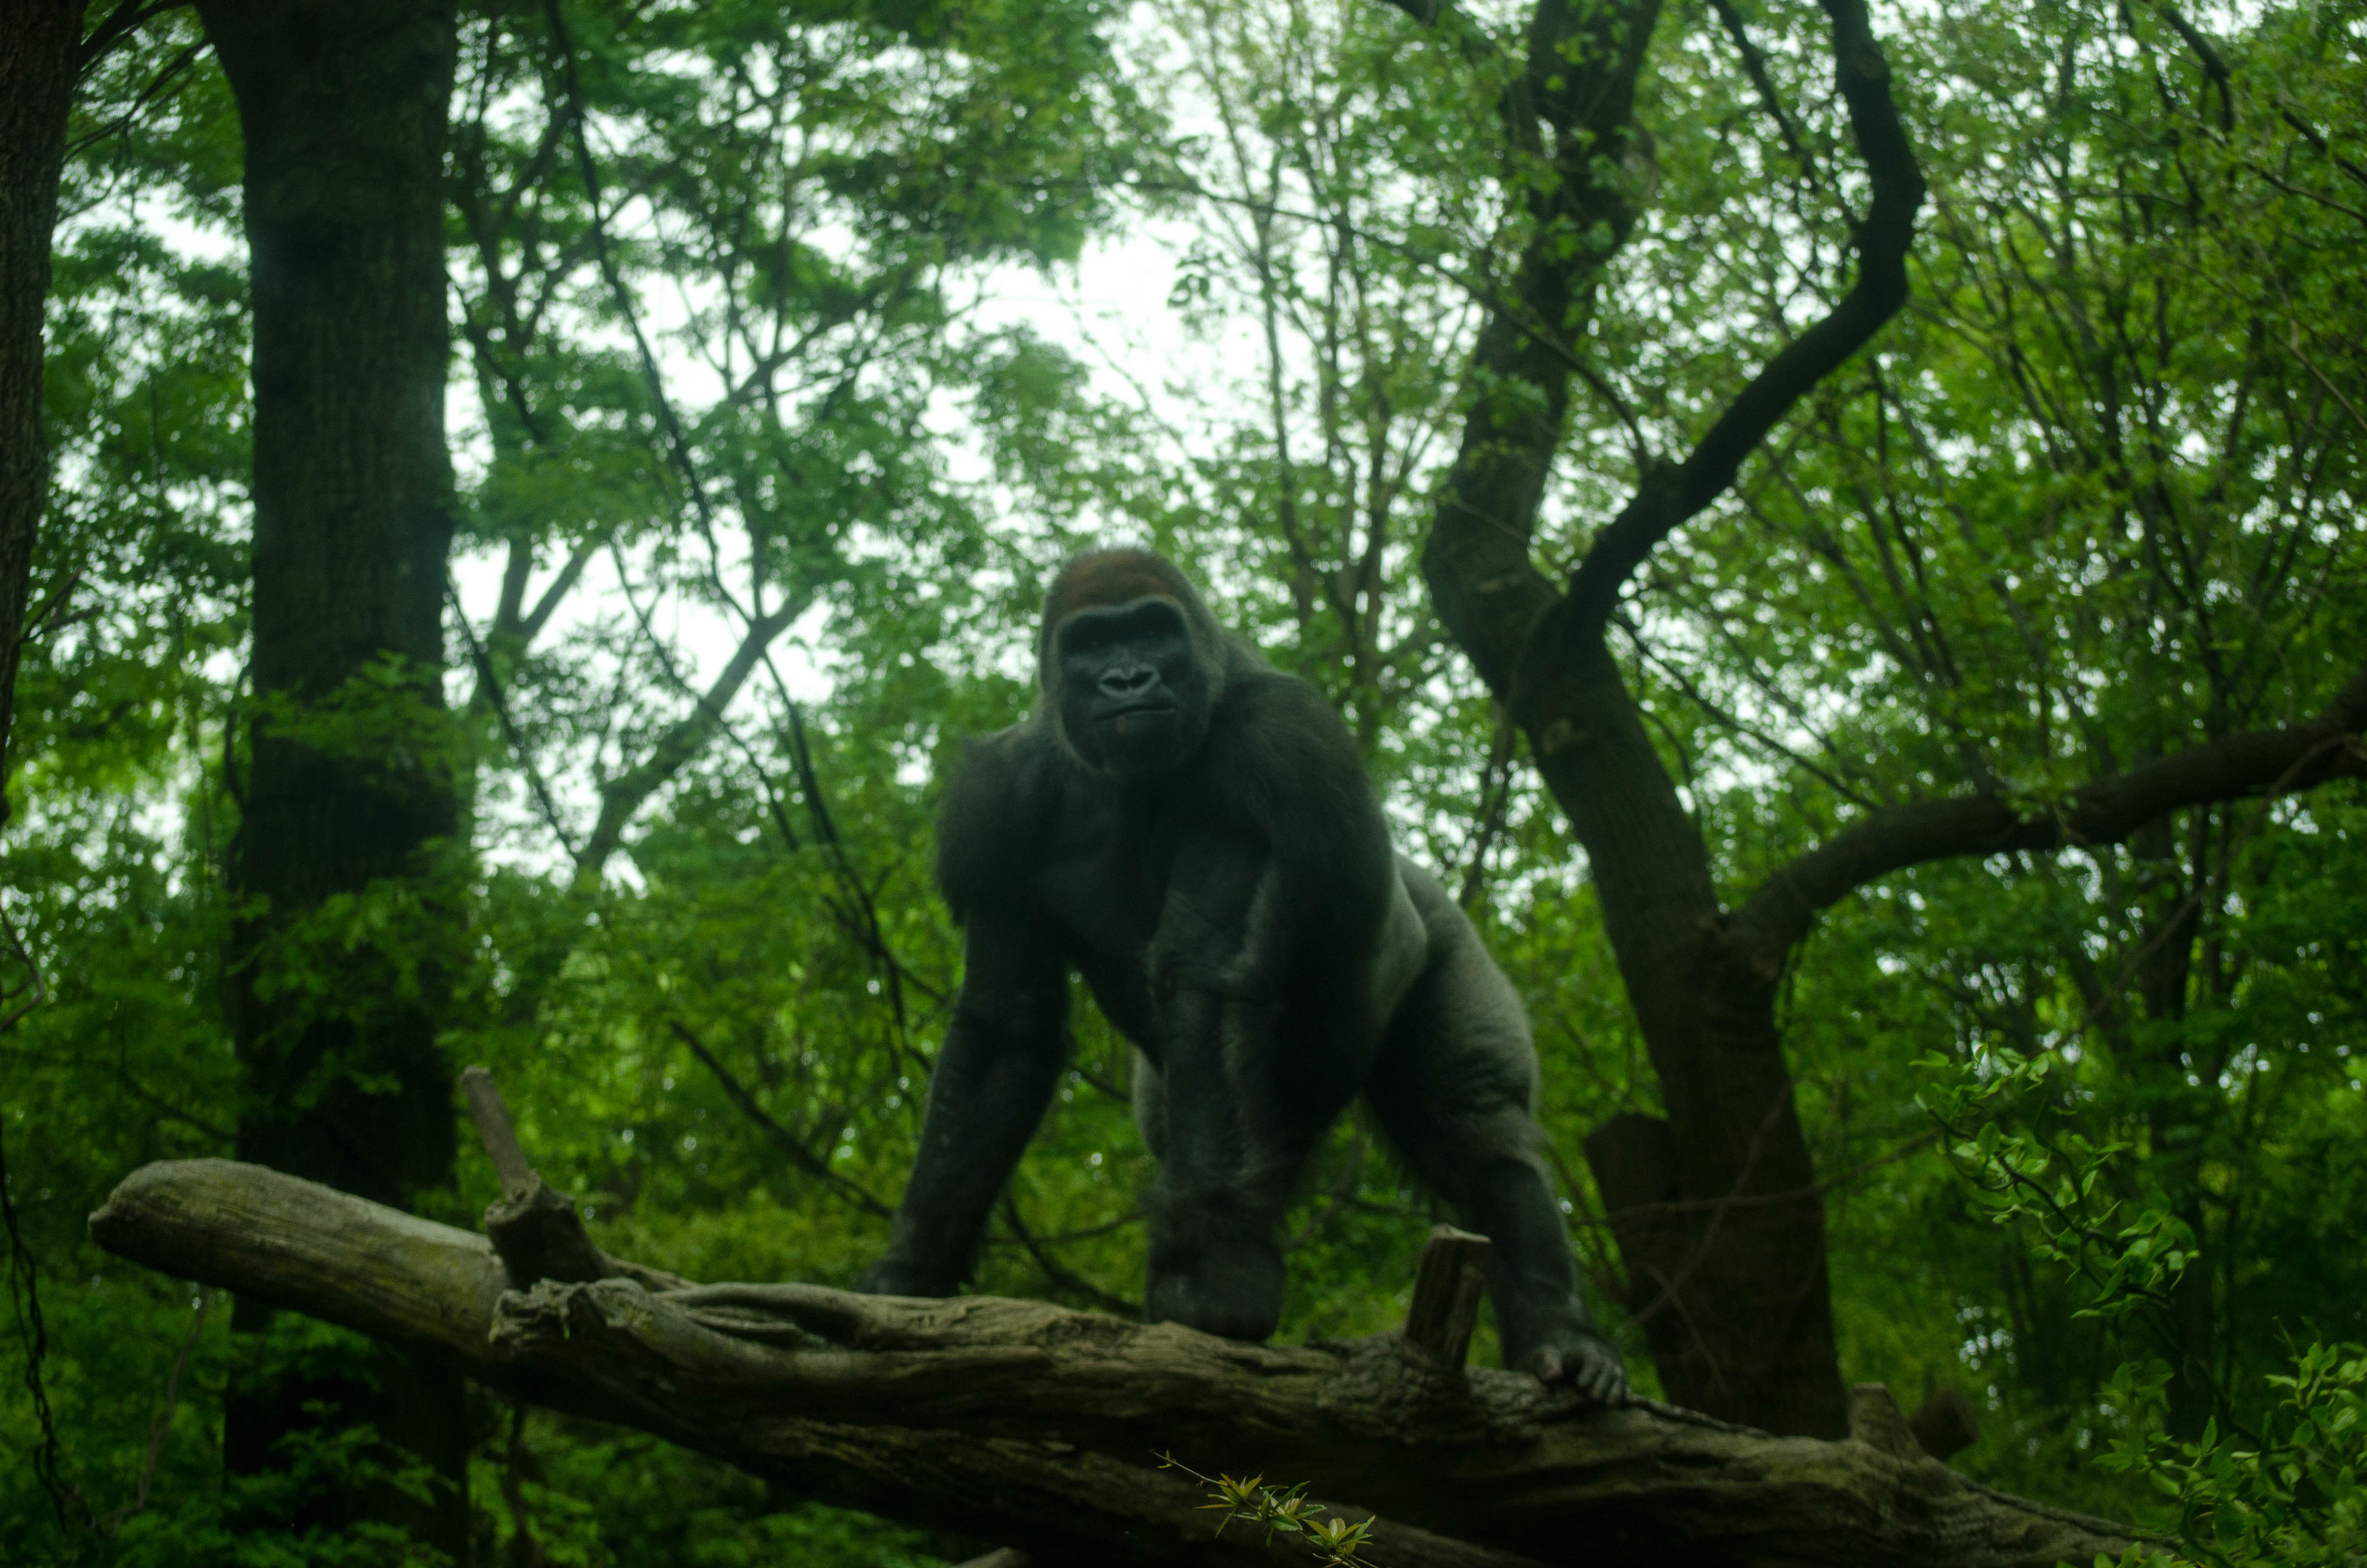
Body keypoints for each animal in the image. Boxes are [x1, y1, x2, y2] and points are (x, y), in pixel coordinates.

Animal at [858, 547, 1625, 1398]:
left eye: (1152, 631)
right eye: (1091, 644)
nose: (1127, 678)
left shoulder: (1271, 748)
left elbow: (1209, 982)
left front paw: (1212, 1286)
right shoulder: (997, 801)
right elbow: (1004, 1028)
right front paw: (913, 1270)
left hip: (1442, 933)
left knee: (1477, 1129)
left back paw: (1560, 1329)